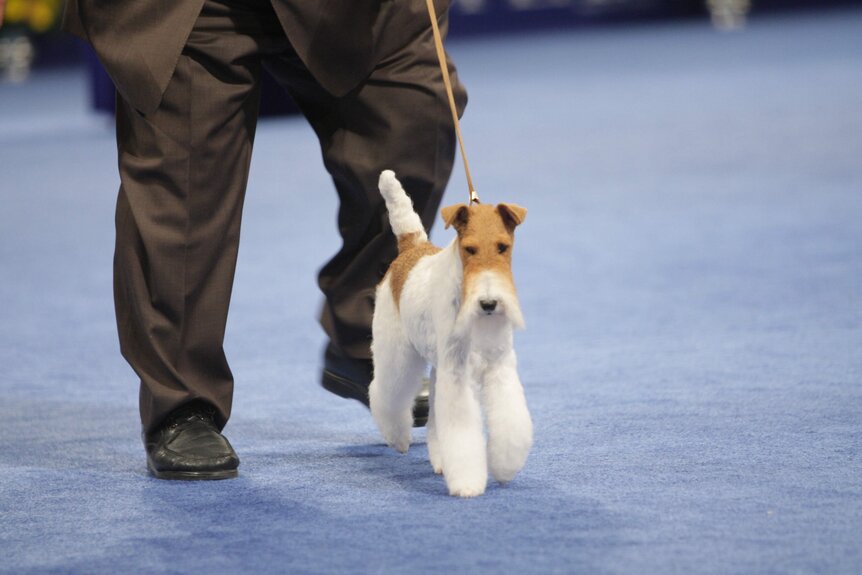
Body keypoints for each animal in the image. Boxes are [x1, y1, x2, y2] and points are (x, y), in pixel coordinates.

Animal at [372, 169, 532, 498]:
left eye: (503, 247)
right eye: (469, 249)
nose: (489, 303)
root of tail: (413, 246)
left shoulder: (498, 365)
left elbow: (510, 421)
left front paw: (506, 465)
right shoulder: (457, 374)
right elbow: (461, 430)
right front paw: (468, 483)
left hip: (438, 367)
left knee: (433, 418)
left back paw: (439, 460)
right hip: (398, 355)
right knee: (382, 393)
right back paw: (398, 438)